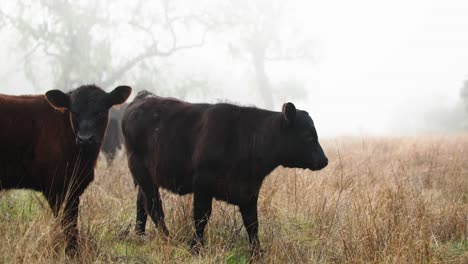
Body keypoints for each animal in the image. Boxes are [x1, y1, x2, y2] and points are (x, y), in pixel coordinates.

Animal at [0, 85, 132, 253]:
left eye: (100, 112)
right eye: (74, 112)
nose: (85, 139)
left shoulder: (73, 188)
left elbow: (72, 224)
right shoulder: (56, 187)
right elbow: (68, 225)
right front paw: (71, 252)